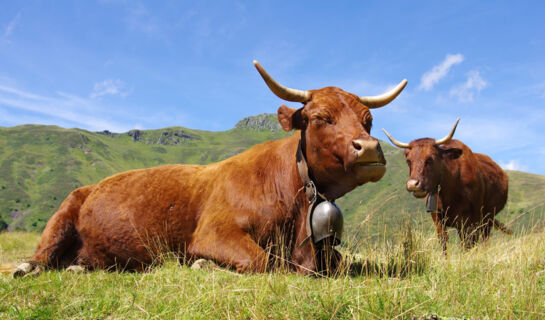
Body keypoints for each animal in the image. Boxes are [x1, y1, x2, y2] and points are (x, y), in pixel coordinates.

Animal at [11, 61, 408, 276]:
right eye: (321, 117)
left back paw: (80, 266)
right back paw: (26, 268)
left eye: (369, 121)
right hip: (62, 215)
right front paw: (203, 265)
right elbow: (262, 261)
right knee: (41, 257)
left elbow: (341, 262)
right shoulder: (214, 232)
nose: (369, 148)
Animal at [382, 117, 510, 252]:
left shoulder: (472, 219)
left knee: (484, 239)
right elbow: (444, 243)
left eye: (430, 159)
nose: (413, 184)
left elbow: (469, 245)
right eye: (408, 161)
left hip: (488, 217)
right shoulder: (438, 219)